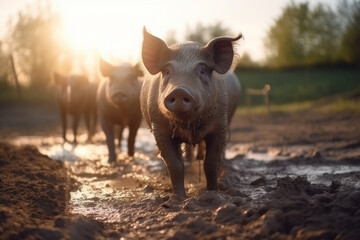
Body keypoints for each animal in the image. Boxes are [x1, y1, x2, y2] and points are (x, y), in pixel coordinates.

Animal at [141, 27, 242, 196]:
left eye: (203, 70)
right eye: (167, 71)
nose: (180, 90)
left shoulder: (220, 125)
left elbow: (211, 164)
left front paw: (213, 192)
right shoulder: (159, 128)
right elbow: (175, 165)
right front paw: (180, 196)